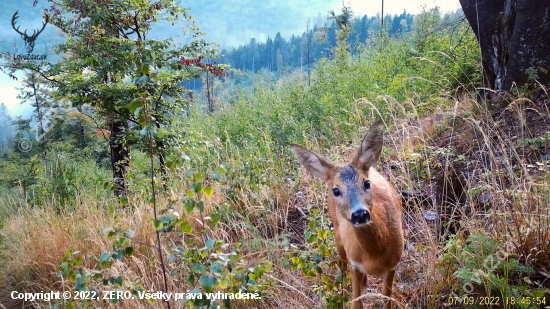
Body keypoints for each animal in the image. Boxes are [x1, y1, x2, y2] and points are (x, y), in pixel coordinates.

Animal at [294, 121, 406, 306]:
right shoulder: (355, 264)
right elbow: (356, 303)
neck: (374, 257)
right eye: (336, 190)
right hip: (338, 237)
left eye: (366, 183)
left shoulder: (394, 263)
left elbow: (387, 299)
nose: (360, 214)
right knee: (343, 267)